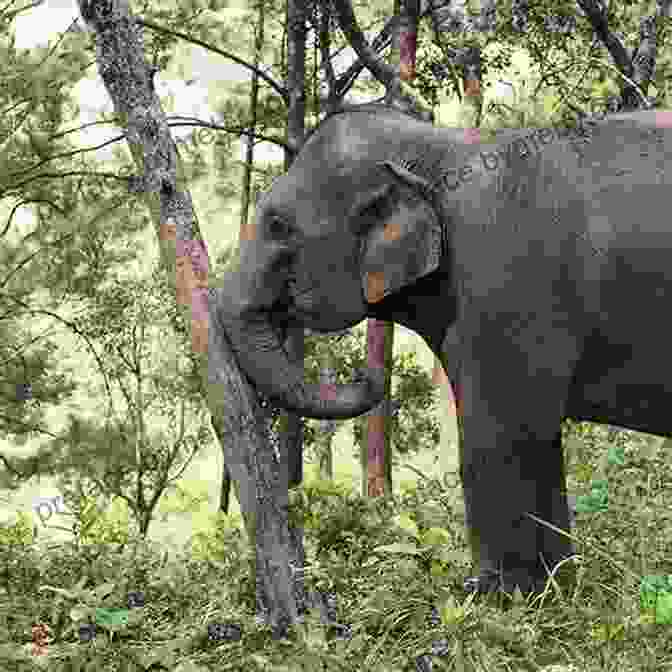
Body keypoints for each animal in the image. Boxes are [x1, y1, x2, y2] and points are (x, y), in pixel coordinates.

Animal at [214, 105, 672, 592]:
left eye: (278, 225)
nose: (367, 372)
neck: (436, 148)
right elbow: (538, 439)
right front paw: (556, 591)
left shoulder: (507, 287)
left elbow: (501, 432)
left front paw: (495, 597)